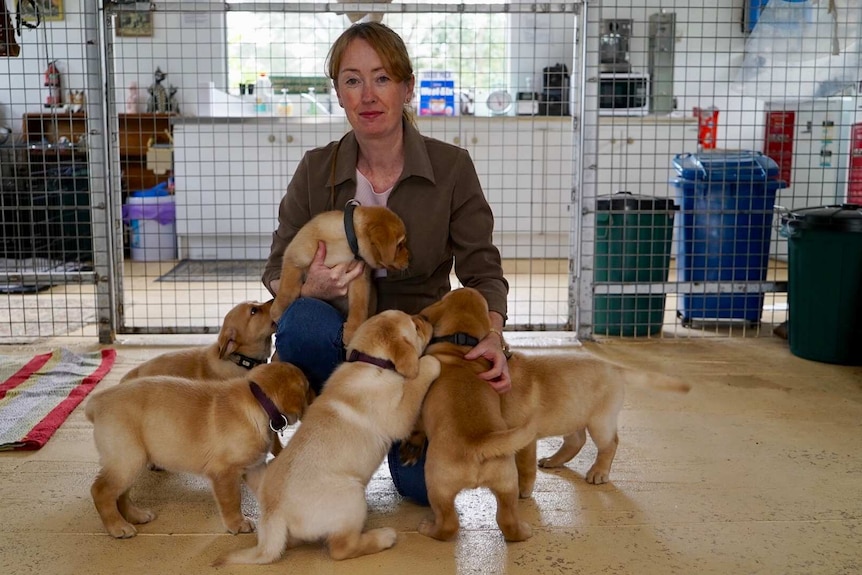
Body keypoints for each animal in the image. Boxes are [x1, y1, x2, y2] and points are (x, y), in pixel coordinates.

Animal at [84, 362, 312, 536]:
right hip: (128, 459)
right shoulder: (224, 472)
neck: (258, 403)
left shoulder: (254, 466)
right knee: (101, 491)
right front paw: (237, 524)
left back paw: (135, 515)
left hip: (130, 462)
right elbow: (232, 500)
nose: (316, 396)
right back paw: (117, 527)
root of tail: (96, 402)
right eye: (308, 387)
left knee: (120, 493)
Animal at [215, 310, 442, 568]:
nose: (425, 317)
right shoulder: (398, 416)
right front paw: (431, 362)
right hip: (352, 496)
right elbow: (415, 384)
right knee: (341, 548)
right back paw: (383, 537)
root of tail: (274, 513)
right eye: (416, 325)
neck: (369, 362)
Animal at [272, 205, 410, 344]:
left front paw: (353, 331)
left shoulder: (359, 280)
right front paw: (277, 311)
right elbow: (287, 290)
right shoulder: (294, 259)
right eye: (400, 245)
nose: (409, 259)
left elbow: (358, 307)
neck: (344, 245)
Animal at [414, 290, 536, 544]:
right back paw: (523, 532)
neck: (460, 344)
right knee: (507, 521)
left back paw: (429, 528)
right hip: (507, 482)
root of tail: (479, 442)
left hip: (437, 486)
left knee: (449, 525)